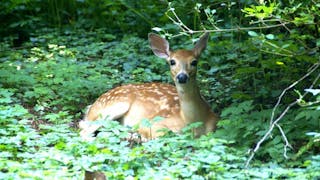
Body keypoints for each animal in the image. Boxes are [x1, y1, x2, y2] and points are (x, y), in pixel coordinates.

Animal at [79, 32, 219, 139]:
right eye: (172, 62)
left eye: (194, 62)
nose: (182, 77)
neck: (191, 121)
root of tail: (92, 106)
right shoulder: (153, 123)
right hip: (114, 106)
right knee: (84, 130)